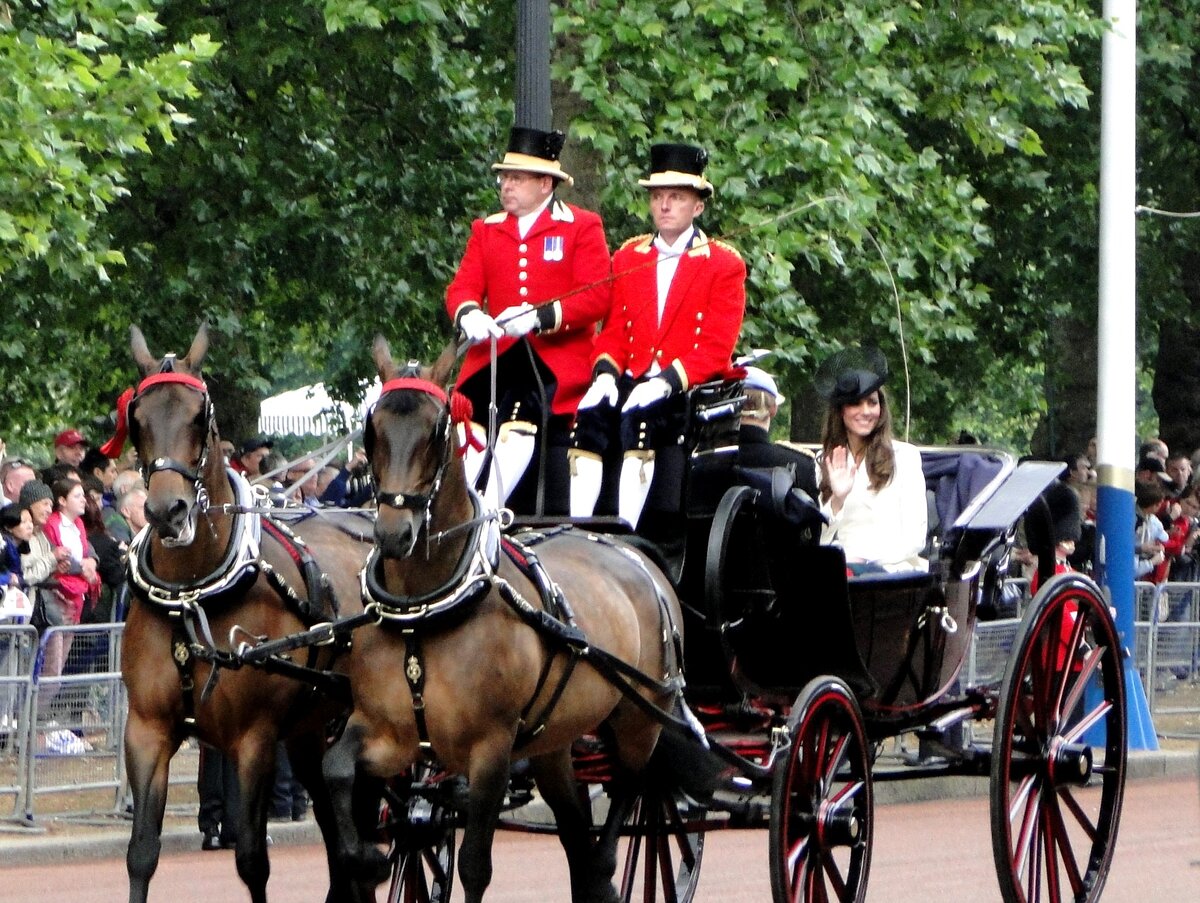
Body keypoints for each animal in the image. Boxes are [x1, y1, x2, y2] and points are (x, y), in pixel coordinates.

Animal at [121, 326, 374, 903]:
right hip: (311, 735)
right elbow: (142, 854)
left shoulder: (253, 738)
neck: (192, 595)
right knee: (343, 843)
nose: (166, 512)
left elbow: (252, 860)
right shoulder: (146, 730)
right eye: (136, 418)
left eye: (201, 416)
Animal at [324, 338, 691, 903]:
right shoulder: (387, 731)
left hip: (640, 717)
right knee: (574, 829)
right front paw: (363, 857)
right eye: (372, 427)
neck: (423, 613)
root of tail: (631, 548)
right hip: (554, 742)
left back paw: (609, 863)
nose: (393, 534)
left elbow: (475, 865)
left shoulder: (491, 750)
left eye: (436, 431)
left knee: (632, 789)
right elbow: (336, 769)